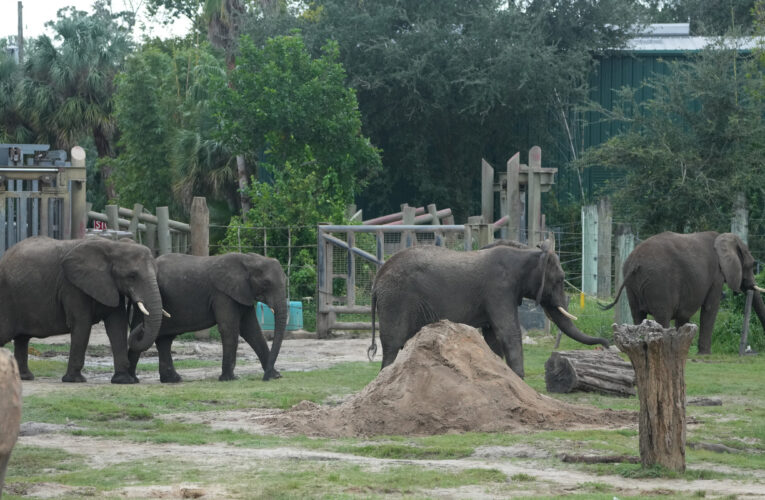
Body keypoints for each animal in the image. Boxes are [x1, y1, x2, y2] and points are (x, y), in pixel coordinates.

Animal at [0, 235, 161, 382]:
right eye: (132, 276)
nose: (141, 327)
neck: (113, 245)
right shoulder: (71, 286)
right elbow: (82, 323)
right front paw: (74, 379)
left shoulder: (110, 285)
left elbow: (117, 324)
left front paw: (123, 380)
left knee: (22, 338)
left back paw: (25, 378)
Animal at [128, 254, 286, 382]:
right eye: (266, 283)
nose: (264, 379)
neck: (249, 259)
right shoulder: (222, 294)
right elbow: (229, 328)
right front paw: (230, 379)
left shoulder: (243, 293)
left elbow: (252, 331)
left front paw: (275, 376)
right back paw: (131, 379)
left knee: (164, 339)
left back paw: (172, 379)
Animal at [370, 243, 608, 378]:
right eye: (559, 280)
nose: (606, 346)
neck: (527, 253)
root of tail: (377, 278)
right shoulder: (499, 289)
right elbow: (508, 332)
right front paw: (519, 378)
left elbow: (493, 337)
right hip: (396, 299)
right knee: (392, 344)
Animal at [604, 231, 764, 354]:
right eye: (751, 264)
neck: (723, 238)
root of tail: (636, 262)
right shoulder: (716, 276)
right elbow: (710, 308)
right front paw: (705, 354)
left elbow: (684, 314)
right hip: (659, 282)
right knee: (662, 316)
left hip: (631, 283)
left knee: (637, 314)